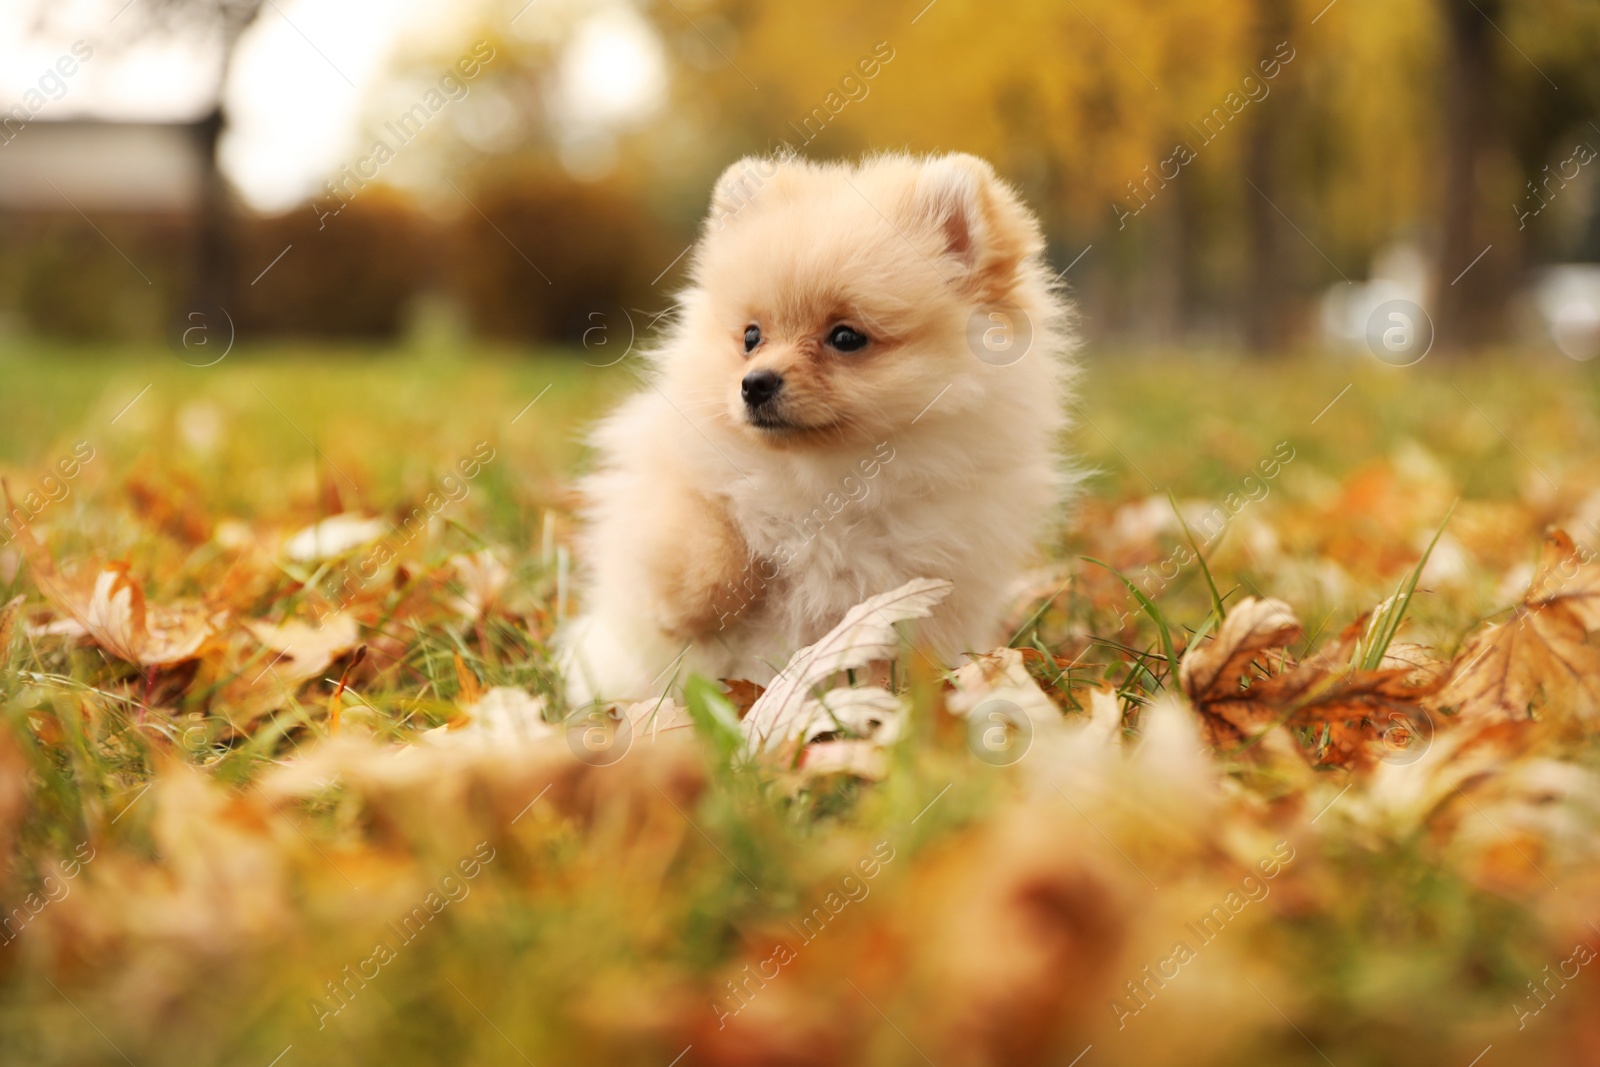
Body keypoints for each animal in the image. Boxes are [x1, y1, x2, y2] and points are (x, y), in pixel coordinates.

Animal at [563, 150, 1075, 710]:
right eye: (751, 336)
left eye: (846, 337)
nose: (754, 383)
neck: (824, 478)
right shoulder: (672, 464)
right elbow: (699, 526)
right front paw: (689, 602)